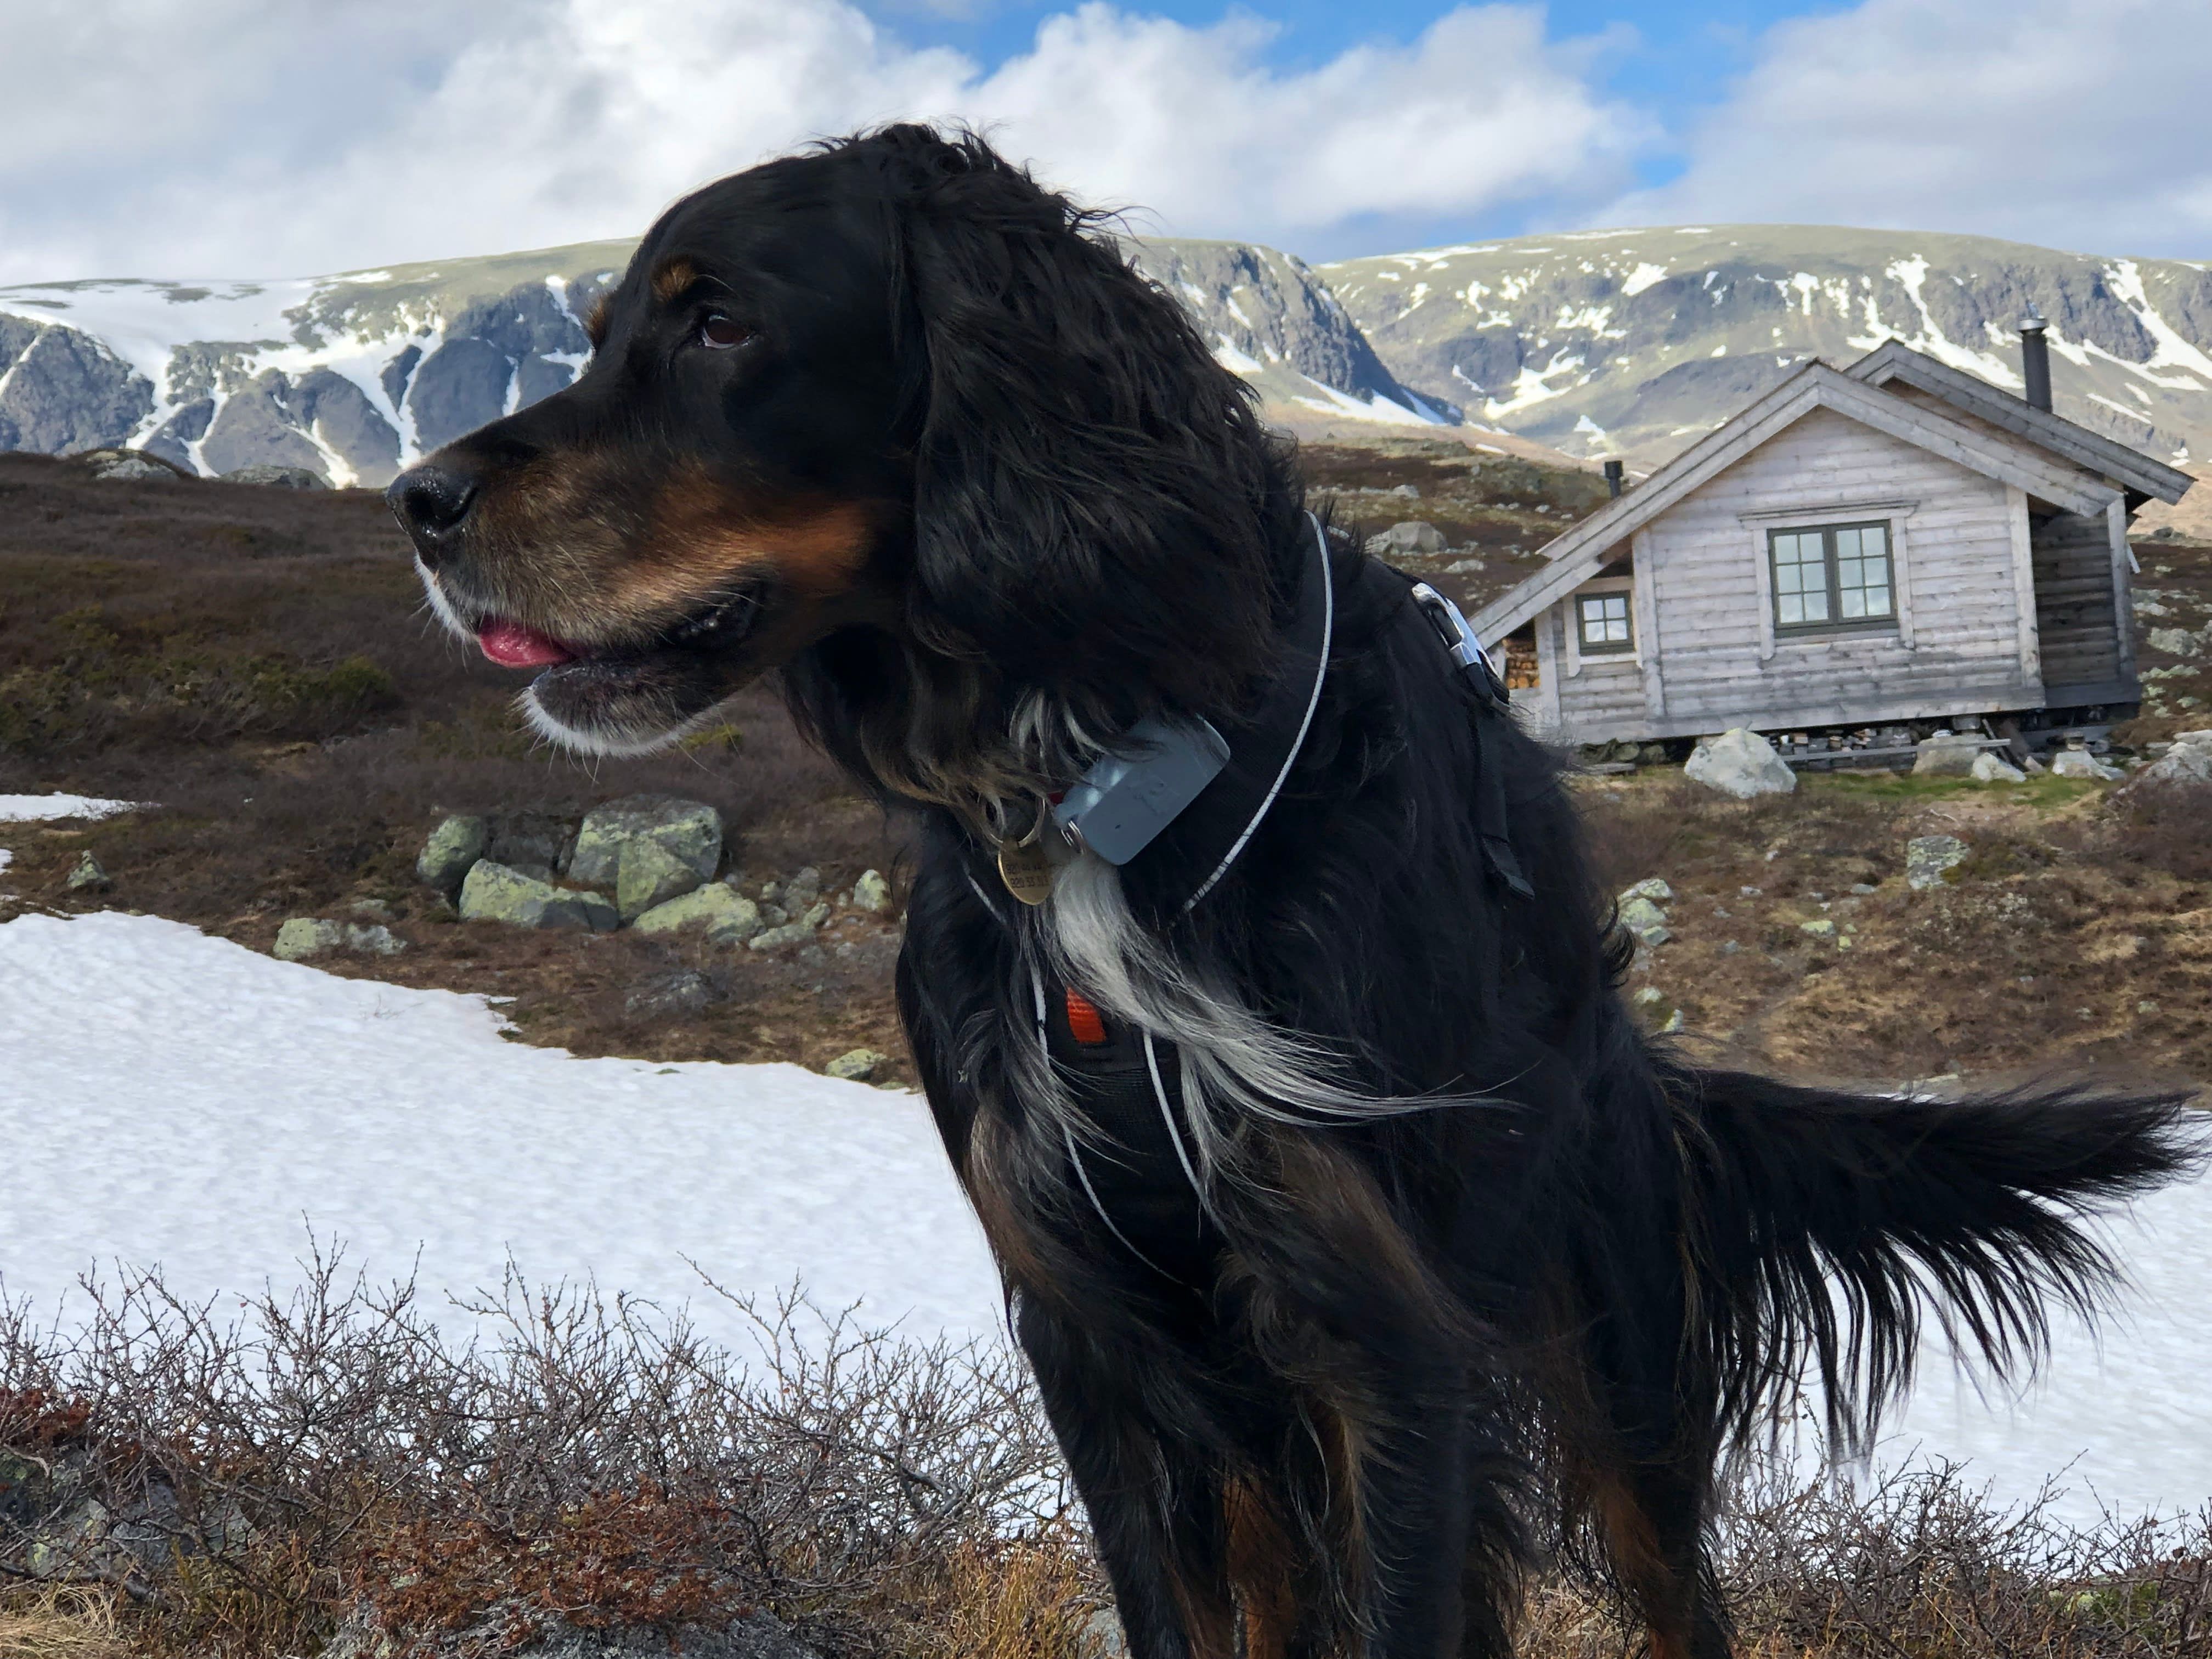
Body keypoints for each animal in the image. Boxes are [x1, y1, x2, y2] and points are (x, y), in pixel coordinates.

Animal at [389, 123, 2203, 1654]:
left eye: (719, 324)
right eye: (601, 333)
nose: (417, 500)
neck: (1105, 791)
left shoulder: (1387, 1344)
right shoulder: (1101, 1350)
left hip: (1608, 1345)